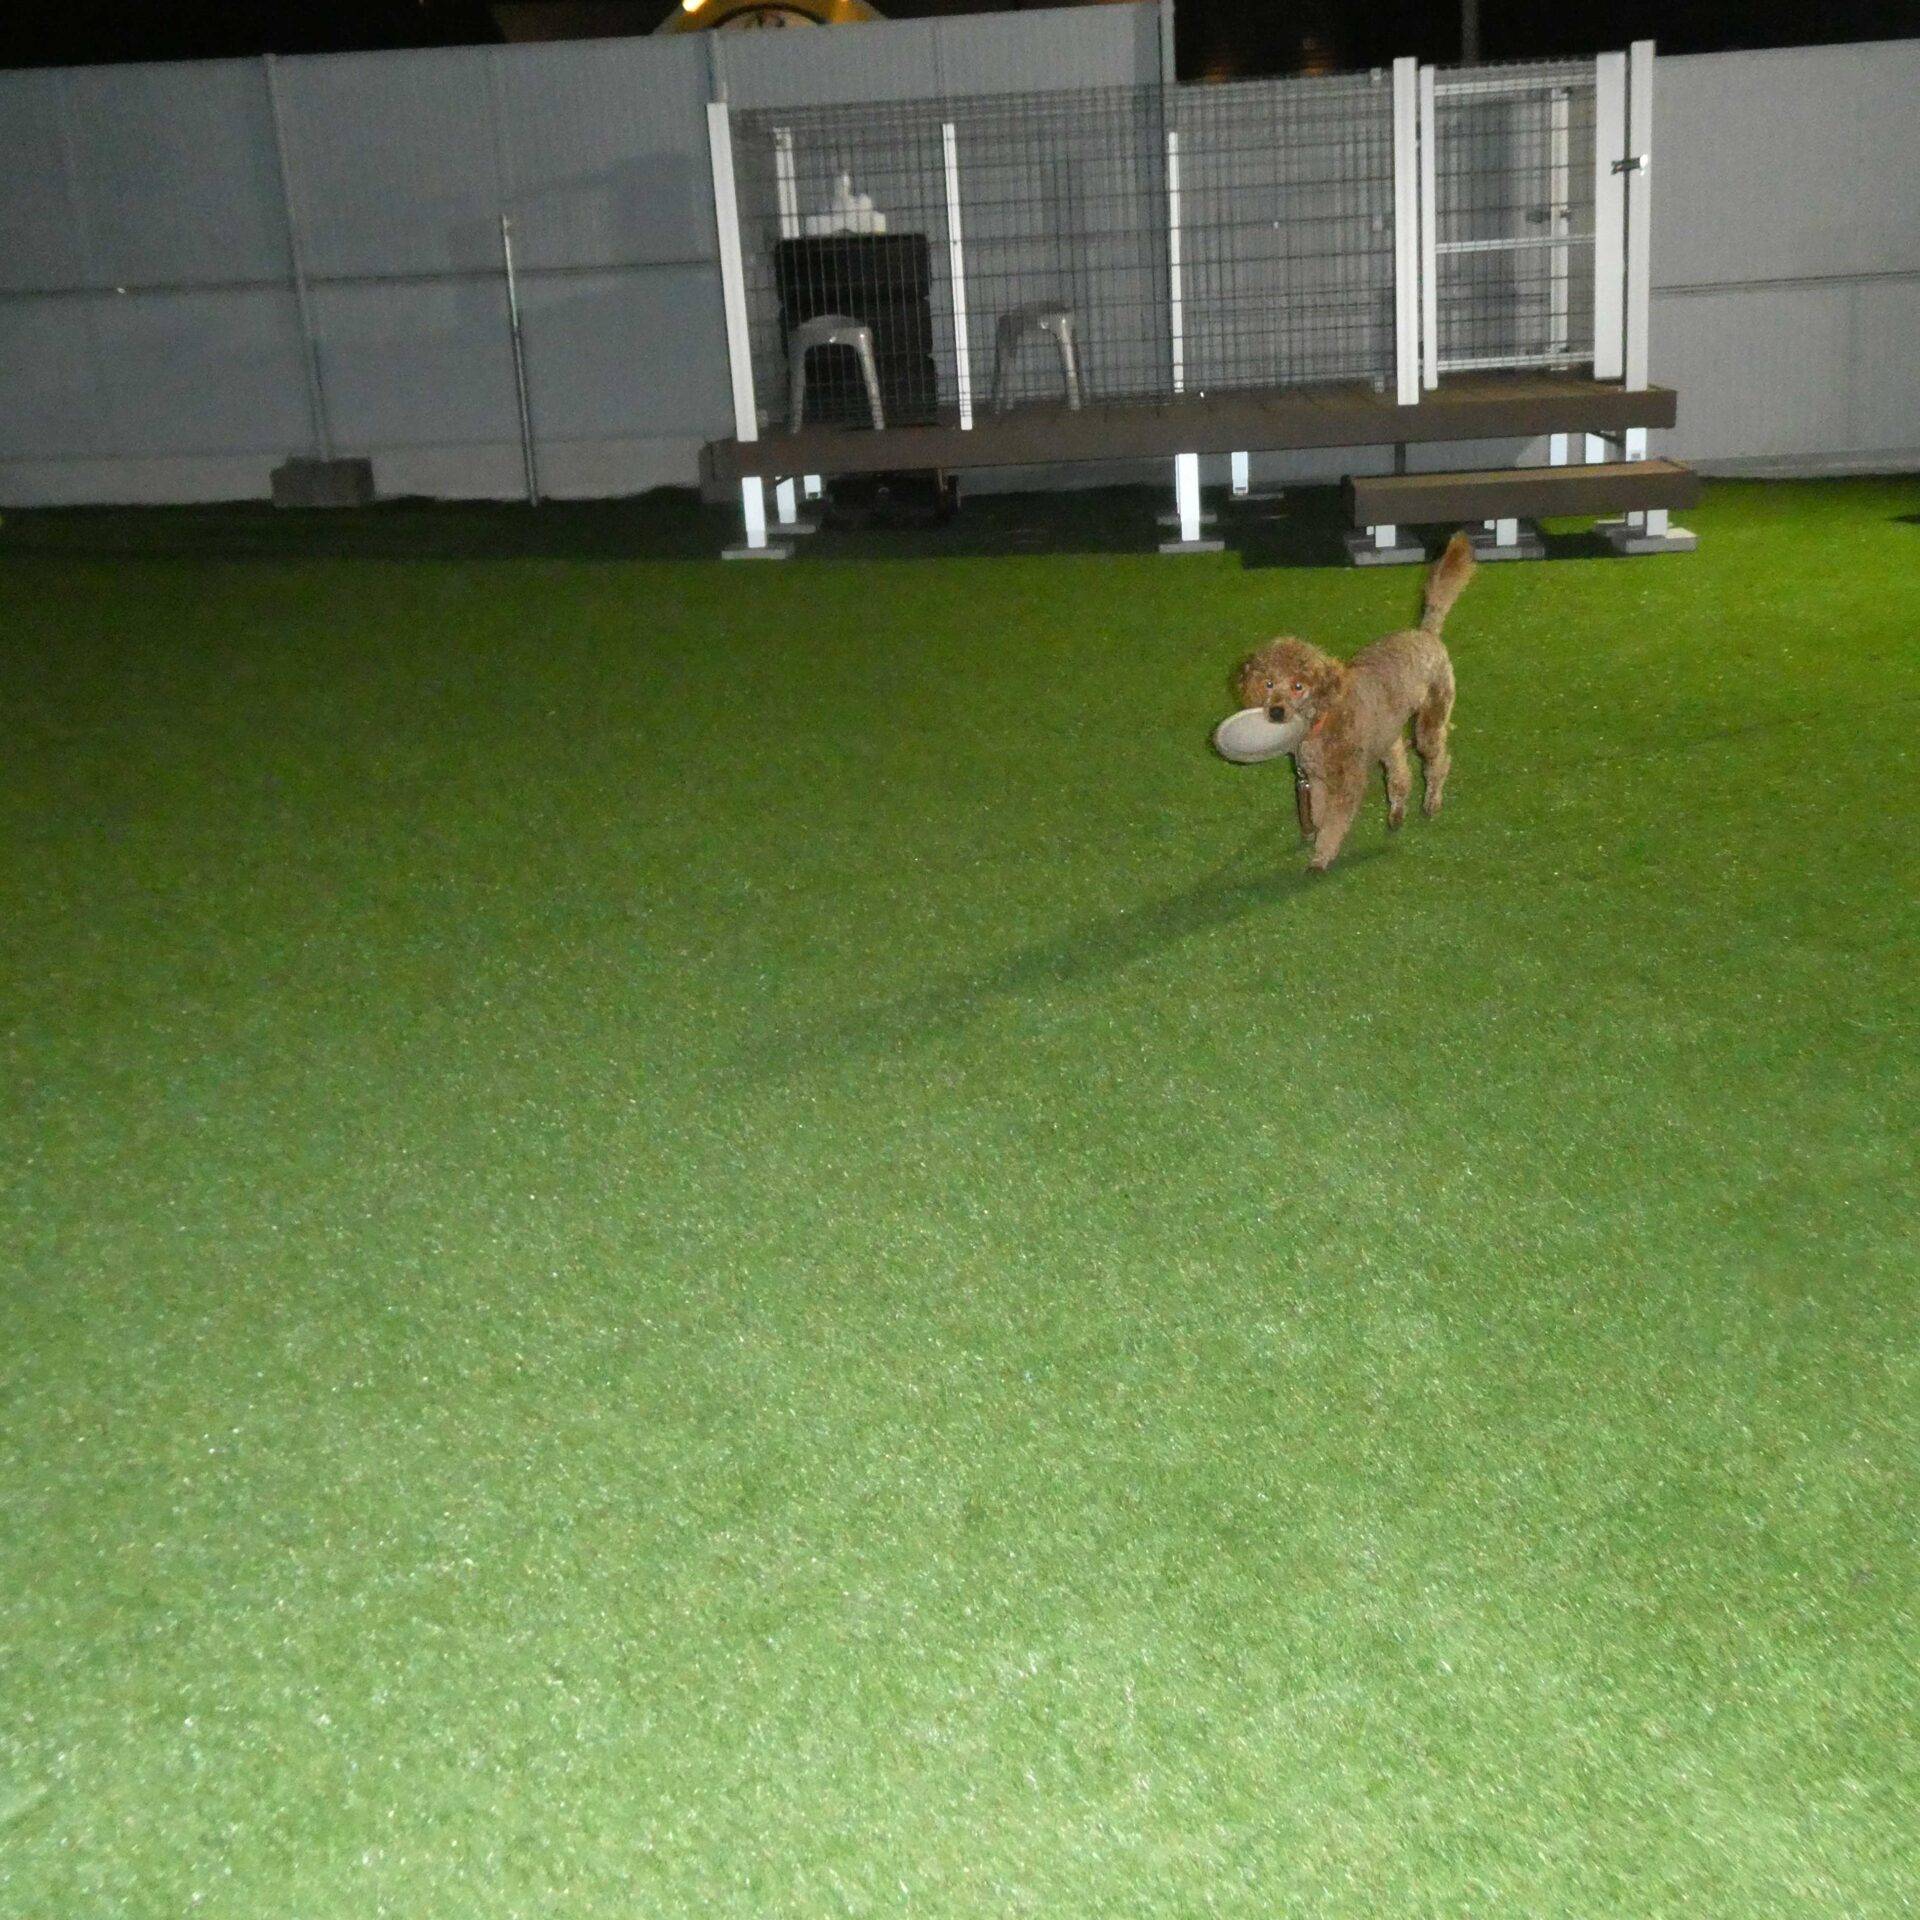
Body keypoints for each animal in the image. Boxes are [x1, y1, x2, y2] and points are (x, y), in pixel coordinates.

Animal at [1233, 532, 1475, 871]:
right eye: (1268, 683)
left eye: (1298, 686)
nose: (1277, 712)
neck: (1320, 722)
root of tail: (1426, 633)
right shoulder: (1316, 780)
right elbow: (1319, 812)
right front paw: (1315, 836)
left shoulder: (1347, 782)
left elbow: (1335, 822)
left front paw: (1321, 856)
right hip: (1387, 733)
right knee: (1400, 771)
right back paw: (1396, 814)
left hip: (1430, 719)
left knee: (1437, 760)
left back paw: (1431, 802)